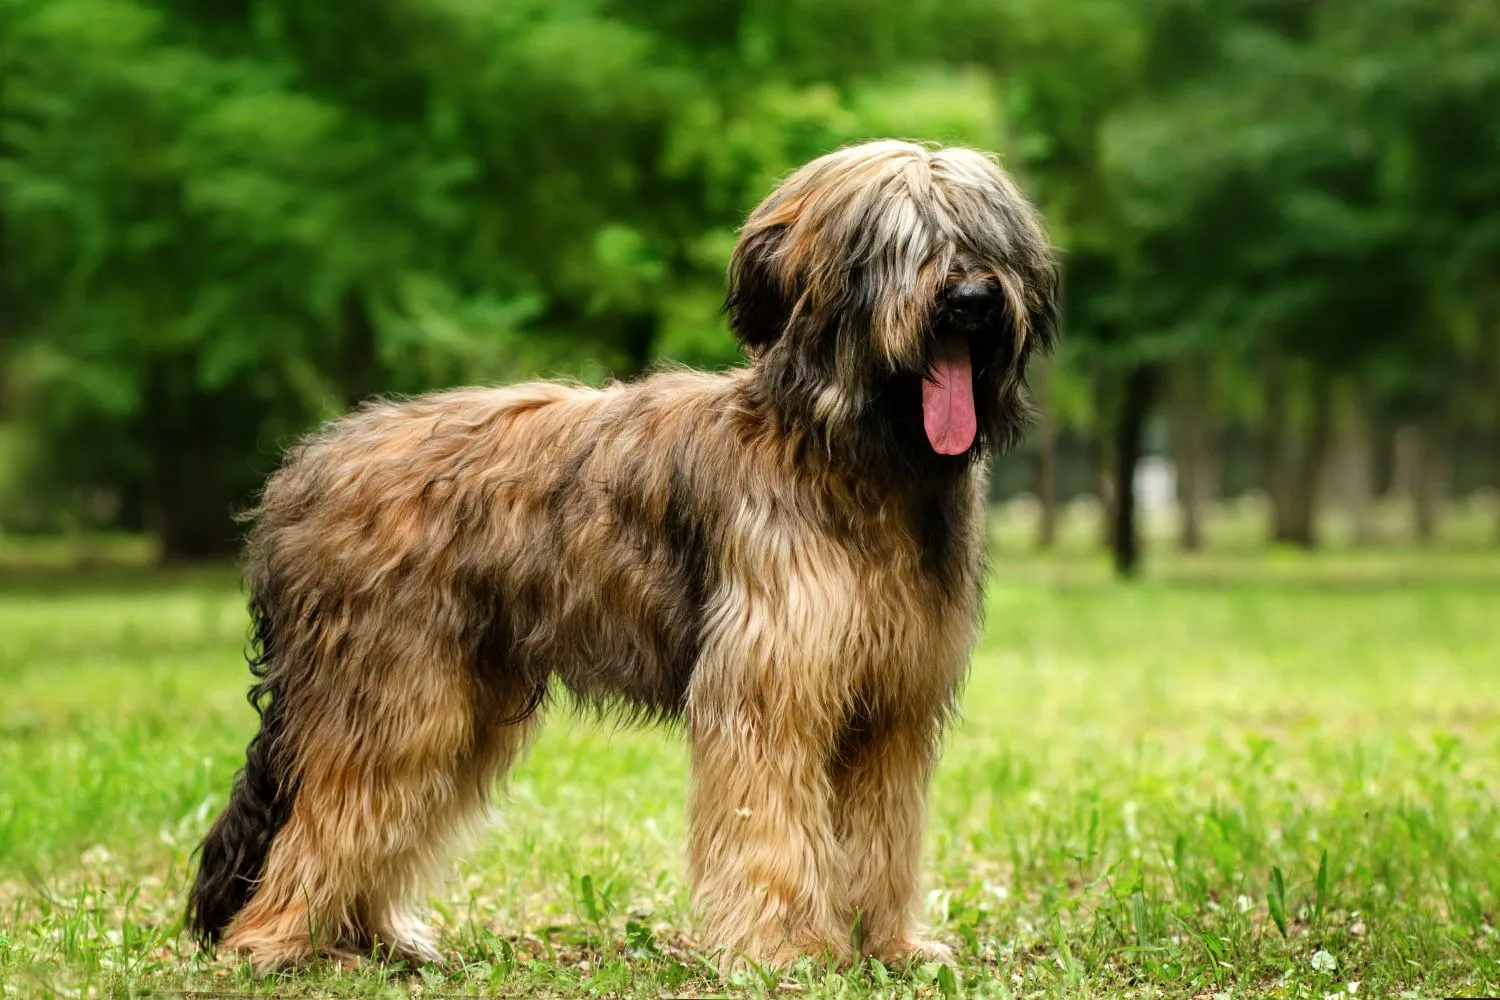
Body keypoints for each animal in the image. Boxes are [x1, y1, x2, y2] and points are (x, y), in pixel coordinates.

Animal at [184, 138, 1056, 971]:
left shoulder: (892, 704)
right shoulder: (771, 689)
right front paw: (785, 950)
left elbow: (883, 835)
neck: (855, 457)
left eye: (986, 239)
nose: (973, 299)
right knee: (332, 815)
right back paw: (275, 942)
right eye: (905, 240)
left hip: (457, 696)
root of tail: (299, 477)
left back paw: (367, 936)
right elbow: (769, 826)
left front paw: (887, 946)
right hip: (395, 693)